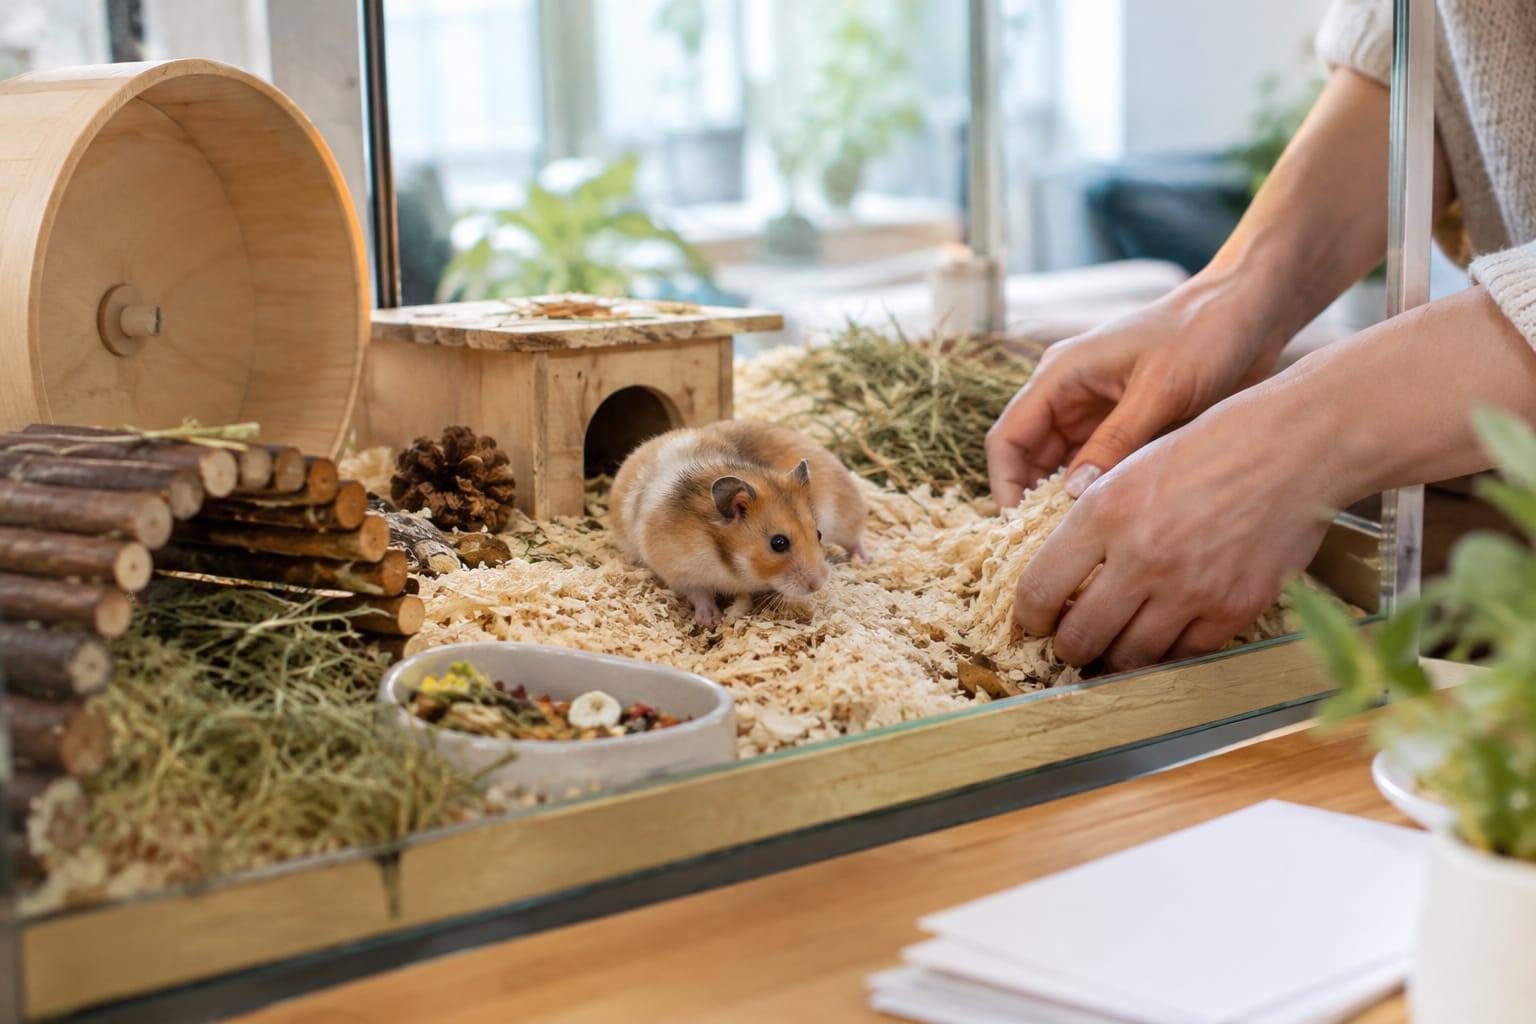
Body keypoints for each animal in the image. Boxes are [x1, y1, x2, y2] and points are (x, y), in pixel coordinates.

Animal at [609, 421, 867, 626]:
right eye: (779, 543)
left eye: (819, 534)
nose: (819, 584)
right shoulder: (678, 571)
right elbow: (699, 594)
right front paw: (711, 620)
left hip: (845, 515)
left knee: (855, 540)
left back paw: (864, 561)